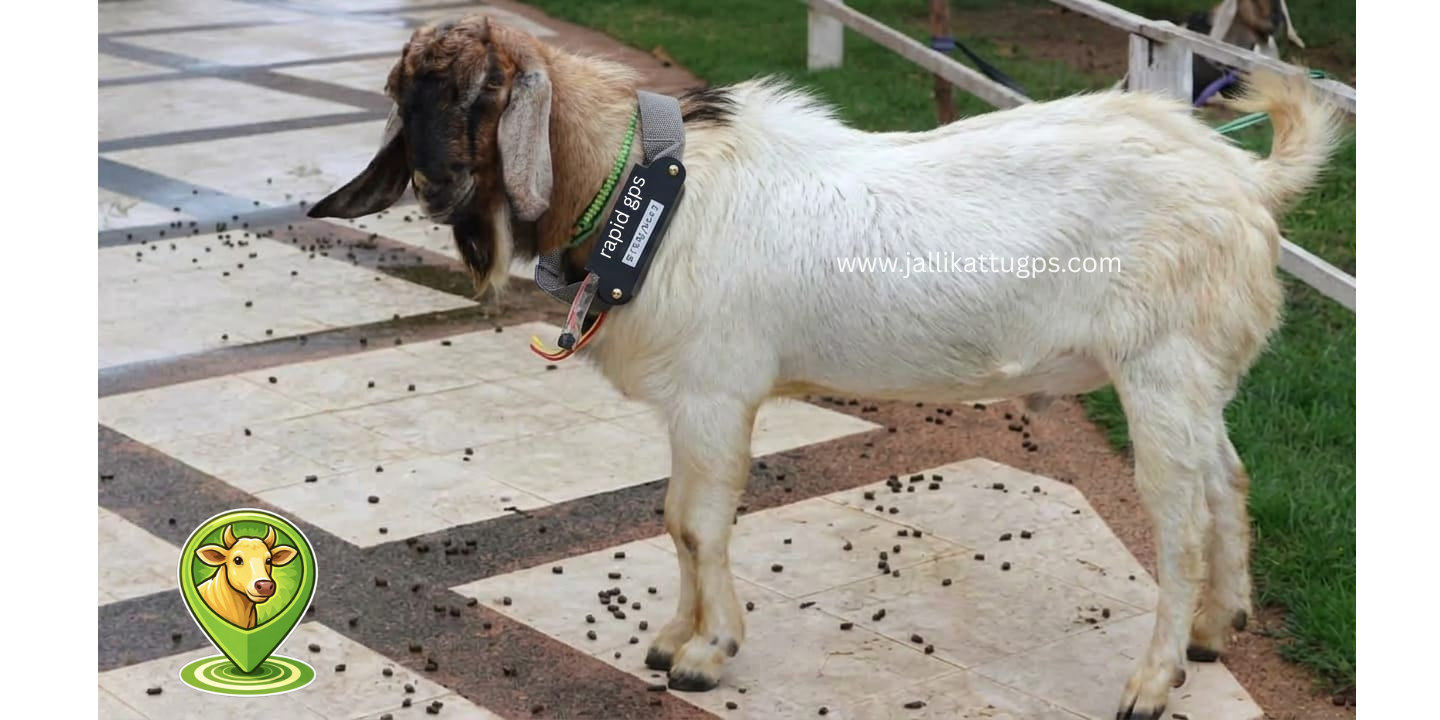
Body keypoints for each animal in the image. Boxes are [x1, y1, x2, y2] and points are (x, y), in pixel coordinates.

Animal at [307, 16, 1341, 720]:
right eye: (403, 96)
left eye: (480, 94)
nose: (435, 185)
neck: (645, 190)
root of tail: (1247, 184)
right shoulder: (692, 402)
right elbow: (676, 521)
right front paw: (670, 639)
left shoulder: (718, 394)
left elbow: (698, 522)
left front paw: (708, 654)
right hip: (1197, 376)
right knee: (1226, 479)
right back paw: (1216, 631)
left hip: (1161, 368)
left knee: (1179, 522)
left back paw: (1151, 681)